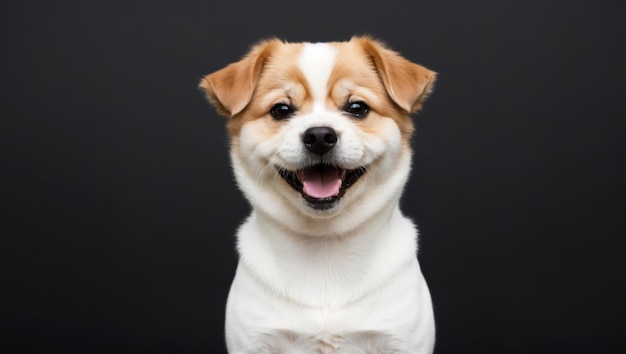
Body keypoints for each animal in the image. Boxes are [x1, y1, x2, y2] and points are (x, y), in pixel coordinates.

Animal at [199, 36, 434, 354]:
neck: (323, 247)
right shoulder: (256, 342)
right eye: (281, 110)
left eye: (357, 107)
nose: (320, 135)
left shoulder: (401, 341)